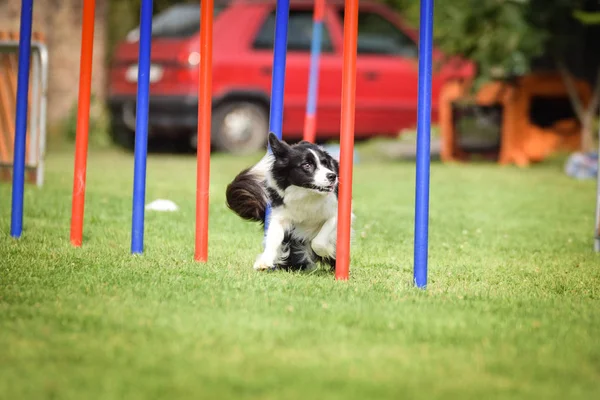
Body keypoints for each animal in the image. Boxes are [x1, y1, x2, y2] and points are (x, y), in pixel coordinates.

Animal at [227, 133, 354, 274]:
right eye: (307, 165)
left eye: (325, 163)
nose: (332, 176)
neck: (306, 194)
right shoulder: (280, 215)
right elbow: (273, 238)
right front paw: (264, 261)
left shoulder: (337, 213)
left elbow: (319, 241)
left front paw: (328, 251)